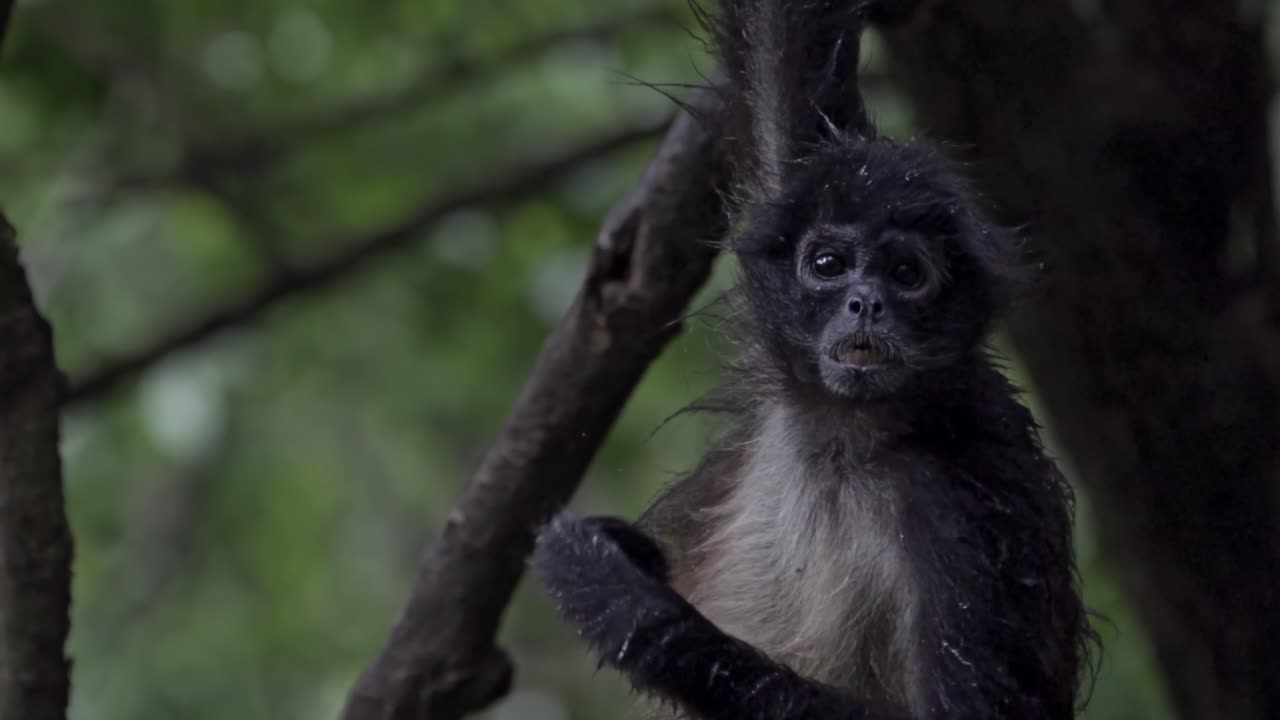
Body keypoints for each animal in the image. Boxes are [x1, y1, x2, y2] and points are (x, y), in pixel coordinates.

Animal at [532, 0, 1097, 718]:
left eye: (906, 274)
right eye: (829, 264)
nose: (865, 303)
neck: (850, 435)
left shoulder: (974, 503)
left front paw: (632, 609)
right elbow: (788, 49)